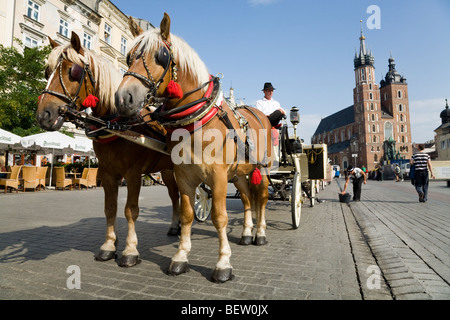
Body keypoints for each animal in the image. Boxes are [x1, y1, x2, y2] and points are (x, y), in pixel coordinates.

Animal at [37, 31, 180, 268]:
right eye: (47, 71)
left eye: (73, 71)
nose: (43, 115)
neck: (116, 123)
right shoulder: (107, 173)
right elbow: (110, 208)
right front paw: (109, 246)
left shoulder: (133, 174)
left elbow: (130, 210)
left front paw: (130, 251)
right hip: (168, 170)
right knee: (175, 195)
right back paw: (175, 226)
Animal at [115, 13, 274, 282]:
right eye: (129, 56)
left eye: (160, 56)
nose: (123, 98)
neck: (195, 121)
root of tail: (260, 114)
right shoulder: (184, 176)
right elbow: (187, 214)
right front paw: (180, 257)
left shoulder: (218, 176)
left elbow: (219, 217)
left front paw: (223, 264)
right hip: (238, 174)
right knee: (246, 200)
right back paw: (246, 233)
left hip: (261, 169)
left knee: (261, 199)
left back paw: (260, 234)